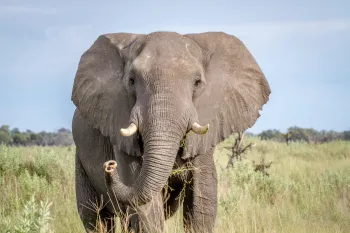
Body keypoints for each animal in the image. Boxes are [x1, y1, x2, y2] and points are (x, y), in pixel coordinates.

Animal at [71, 31, 270, 233]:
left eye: (197, 82)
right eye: (132, 81)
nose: (110, 166)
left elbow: (202, 196)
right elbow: (146, 206)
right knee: (96, 217)